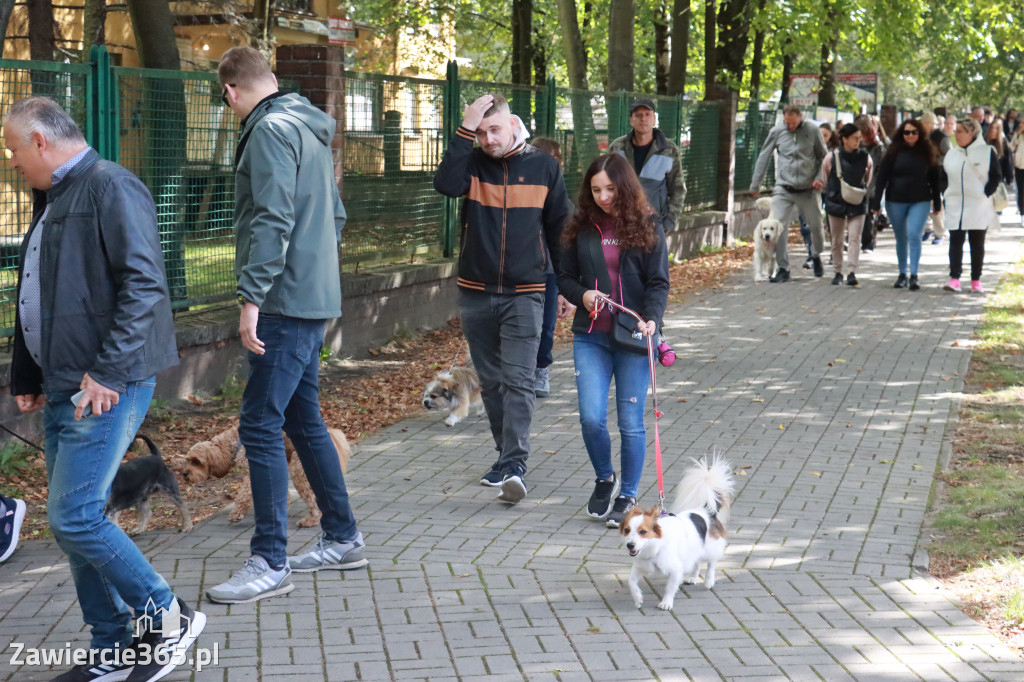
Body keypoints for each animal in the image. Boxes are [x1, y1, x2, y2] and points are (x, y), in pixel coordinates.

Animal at [178, 421, 350, 528]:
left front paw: (237, 514)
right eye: (187, 460)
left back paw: (310, 520)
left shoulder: (251, 473)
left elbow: (243, 496)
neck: (236, 442)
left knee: (313, 501)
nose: (184, 474)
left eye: (196, 461)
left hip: (298, 472)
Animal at [618, 454, 733, 606]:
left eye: (643, 532)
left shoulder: (676, 570)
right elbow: (631, 582)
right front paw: (637, 598)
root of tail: (708, 511)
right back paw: (693, 577)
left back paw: (709, 580)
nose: (630, 545)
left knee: (711, 563)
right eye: (627, 530)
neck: (654, 547)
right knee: (697, 562)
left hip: (710, 549)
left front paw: (666, 602)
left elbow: (670, 587)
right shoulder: (640, 567)